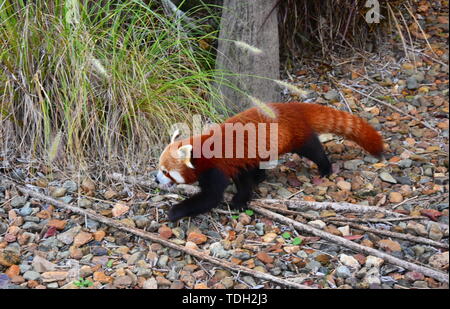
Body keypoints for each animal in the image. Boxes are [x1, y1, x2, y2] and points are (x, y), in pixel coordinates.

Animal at [156, 102, 384, 220]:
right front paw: (243, 197)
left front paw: (175, 211)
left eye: (166, 171)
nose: (156, 179)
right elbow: (244, 180)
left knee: (314, 150)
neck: (202, 152)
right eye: (159, 168)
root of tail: (293, 106)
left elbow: (210, 197)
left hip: (296, 137)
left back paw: (325, 168)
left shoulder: (217, 168)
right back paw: (260, 176)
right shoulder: (238, 163)